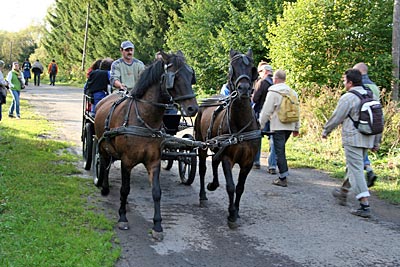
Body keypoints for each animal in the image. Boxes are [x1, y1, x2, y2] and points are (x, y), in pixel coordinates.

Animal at [94, 50, 200, 241]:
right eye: (174, 76)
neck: (144, 119)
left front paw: (157, 226)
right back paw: (104, 187)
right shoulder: (127, 161)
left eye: (190, 75)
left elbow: (156, 193)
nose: (192, 109)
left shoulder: (154, 161)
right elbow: (125, 189)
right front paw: (122, 218)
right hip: (101, 144)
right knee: (104, 163)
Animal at [193, 48, 260, 228]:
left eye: (251, 68)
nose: (243, 88)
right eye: (232, 68)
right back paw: (203, 195)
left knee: (214, 162)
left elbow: (240, 187)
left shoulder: (248, 162)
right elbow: (230, 186)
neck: (241, 125)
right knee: (203, 168)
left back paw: (213, 184)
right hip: (202, 143)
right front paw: (231, 214)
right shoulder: (227, 158)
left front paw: (236, 211)